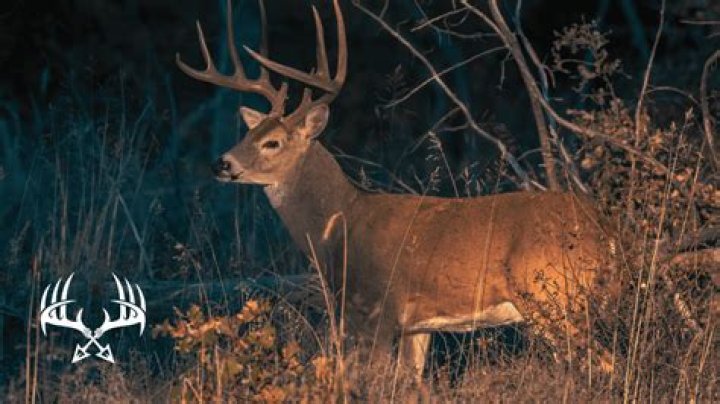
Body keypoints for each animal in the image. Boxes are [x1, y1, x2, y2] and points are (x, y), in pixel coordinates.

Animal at [176, 0, 619, 381]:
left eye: (273, 142)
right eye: (249, 133)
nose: (221, 164)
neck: (340, 225)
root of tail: (603, 230)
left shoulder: (376, 309)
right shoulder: (416, 326)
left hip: (552, 296)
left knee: (603, 362)